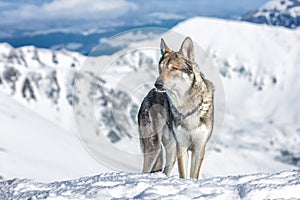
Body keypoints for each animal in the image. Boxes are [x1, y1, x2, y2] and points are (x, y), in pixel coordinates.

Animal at [138, 37, 213, 178]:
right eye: (160, 68)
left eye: (173, 68)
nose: (157, 84)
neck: (187, 107)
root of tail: (147, 96)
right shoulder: (182, 147)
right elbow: (183, 175)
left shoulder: (199, 148)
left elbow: (193, 176)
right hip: (154, 150)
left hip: (170, 153)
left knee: (164, 171)